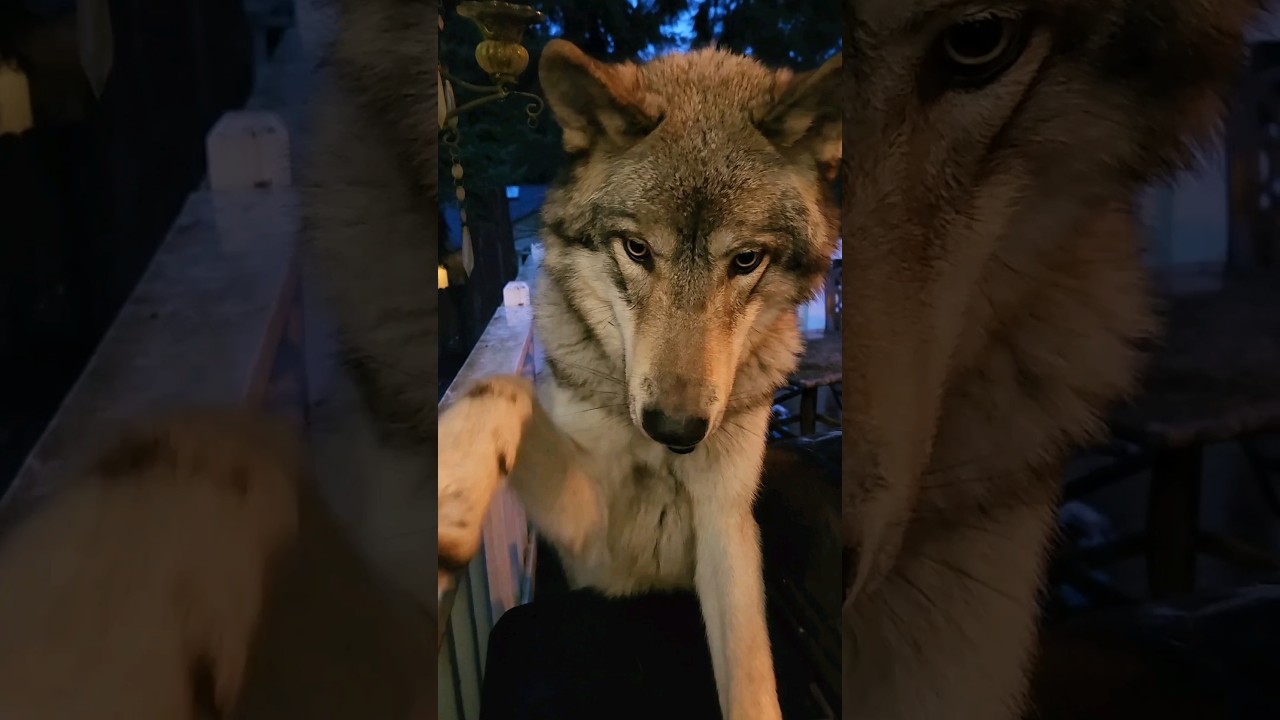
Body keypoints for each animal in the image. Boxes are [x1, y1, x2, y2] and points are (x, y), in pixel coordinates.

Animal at [436, 41, 841, 719]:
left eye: (746, 260)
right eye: (636, 249)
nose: (675, 430)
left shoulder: (727, 529)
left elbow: (752, 681)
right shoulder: (594, 546)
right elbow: (504, 390)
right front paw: (455, 486)